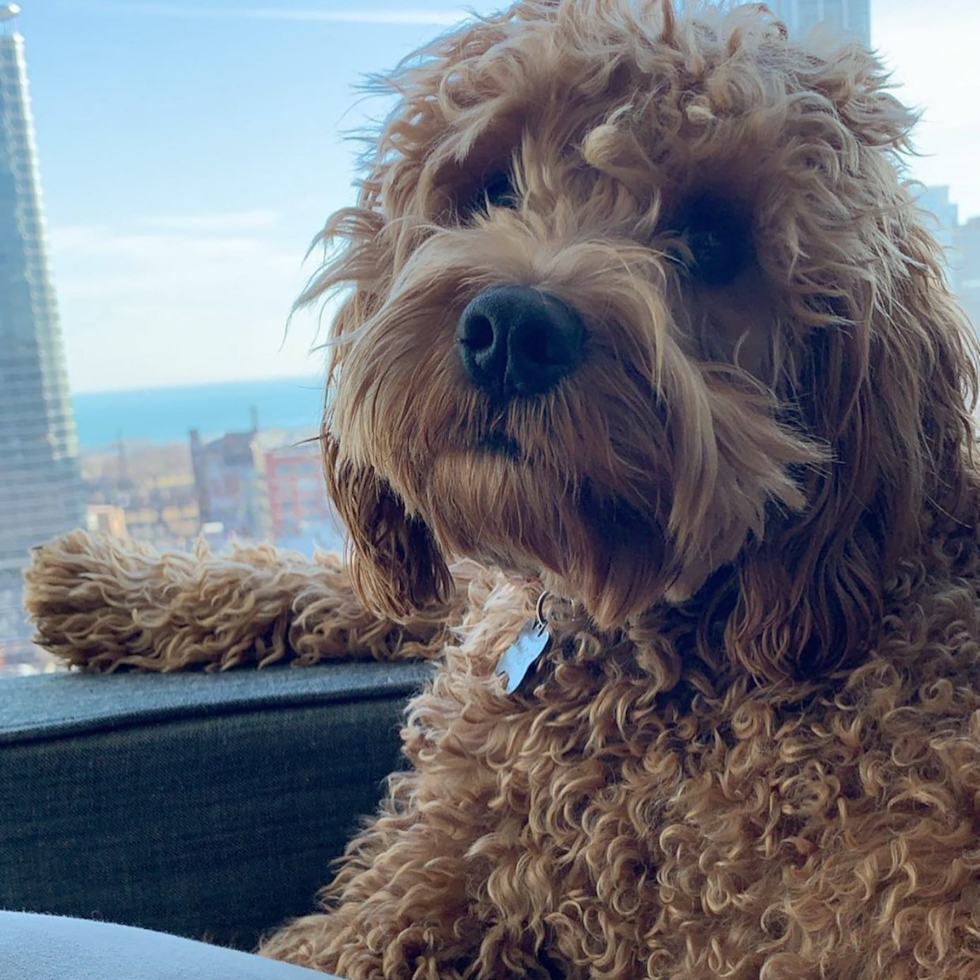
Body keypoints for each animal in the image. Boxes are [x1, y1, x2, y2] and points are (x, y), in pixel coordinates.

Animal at [24, 0, 980, 976]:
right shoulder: (493, 610)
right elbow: (366, 590)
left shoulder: (433, 897)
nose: (512, 329)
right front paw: (99, 582)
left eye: (714, 242)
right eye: (490, 186)